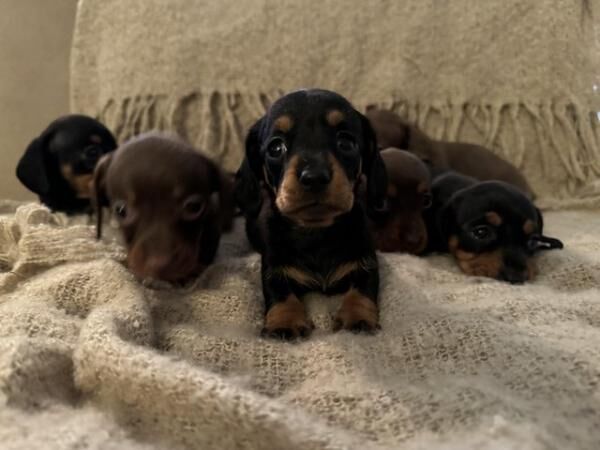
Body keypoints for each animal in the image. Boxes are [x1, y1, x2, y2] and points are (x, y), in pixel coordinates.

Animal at [234, 89, 390, 340]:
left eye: (346, 142)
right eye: (275, 148)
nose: (314, 177)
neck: (316, 233)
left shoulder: (367, 260)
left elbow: (363, 289)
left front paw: (357, 317)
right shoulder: (272, 267)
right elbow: (279, 292)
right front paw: (284, 322)